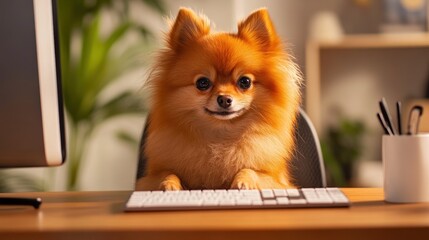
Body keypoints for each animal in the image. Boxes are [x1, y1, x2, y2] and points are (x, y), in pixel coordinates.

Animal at [136, 7, 300, 190]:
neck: (220, 137)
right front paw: (169, 184)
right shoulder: (149, 177)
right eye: (202, 83)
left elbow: (250, 170)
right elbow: (168, 173)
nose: (224, 99)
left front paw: (243, 181)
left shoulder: (278, 181)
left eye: (245, 82)